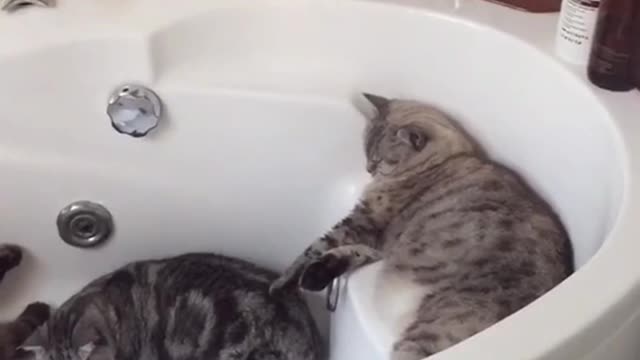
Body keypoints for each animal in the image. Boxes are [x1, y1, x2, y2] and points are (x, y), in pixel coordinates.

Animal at [270, 93, 576, 360]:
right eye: (365, 152)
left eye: (380, 160)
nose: (368, 169)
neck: (445, 159)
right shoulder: (379, 240)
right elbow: (344, 252)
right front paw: (315, 274)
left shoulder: (365, 222)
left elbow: (314, 247)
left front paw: (281, 284)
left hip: (430, 334)